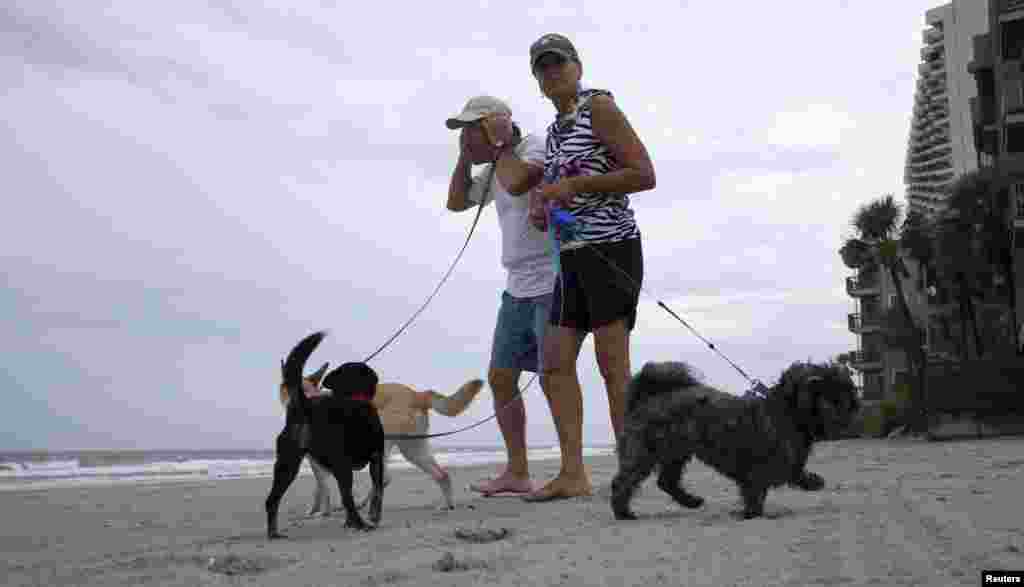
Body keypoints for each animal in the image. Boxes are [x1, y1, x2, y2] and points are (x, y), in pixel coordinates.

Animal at [266, 331, 385, 536]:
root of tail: (305, 405)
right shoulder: (377, 457)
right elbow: (377, 490)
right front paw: (374, 516)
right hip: (341, 463)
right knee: (347, 497)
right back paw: (360, 524)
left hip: (287, 462)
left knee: (272, 499)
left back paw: (274, 533)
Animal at [280, 358, 483, 510]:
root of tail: (417, 394)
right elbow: (320, 488)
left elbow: (322, 487)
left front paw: (321, 512)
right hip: (413, 449)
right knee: (441, 474)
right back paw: (447, 505)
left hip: (387, 443)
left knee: (384, 478)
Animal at [610, 358, 860, 520]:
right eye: (836, 397)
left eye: (848, 391)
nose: (854, 407)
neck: (787, 413)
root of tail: (647, 398)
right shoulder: (758, 470)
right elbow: (755, 492)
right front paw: (752, 513)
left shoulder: (787, 462)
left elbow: (794, 473)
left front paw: (812, 481)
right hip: (644, 453)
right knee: (624, 482)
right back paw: (623, 512)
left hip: (676, 453)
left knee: (667, 482)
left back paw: (691, 501)